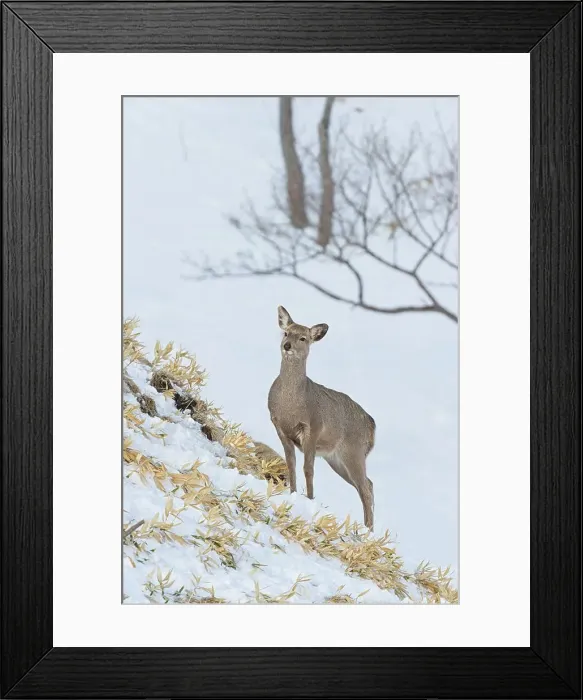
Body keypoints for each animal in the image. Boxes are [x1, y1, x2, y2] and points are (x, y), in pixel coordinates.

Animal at [268, 306, 376, 529]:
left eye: (303, 338)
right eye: (286, 332)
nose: (287, 345)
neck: (291, 406)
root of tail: (372, 425)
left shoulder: (313, 427)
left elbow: (308, 468)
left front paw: (310, 499)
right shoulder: (279, 426)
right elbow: (290, 463)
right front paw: (292, 493)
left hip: (353, 451)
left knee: (365, 487)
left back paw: (368, 529)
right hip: (336, 459)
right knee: (368, 484)